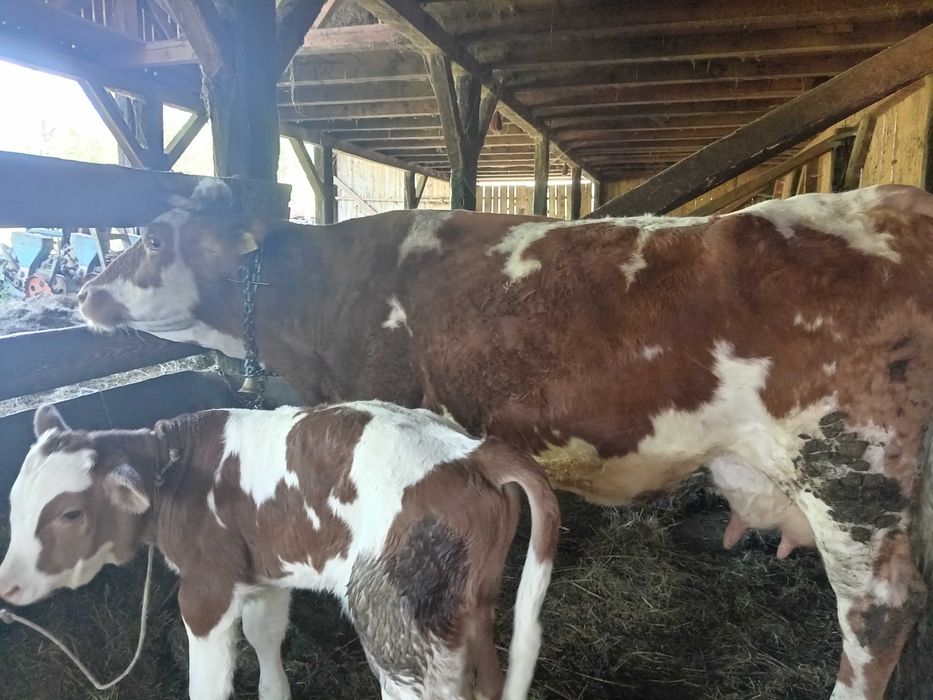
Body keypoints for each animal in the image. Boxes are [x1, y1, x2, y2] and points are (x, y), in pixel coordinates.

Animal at [0, 402, 560, 700]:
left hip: (397, 618)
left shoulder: (206, 591)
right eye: (15, 502)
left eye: (71, 513)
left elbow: (208, 681)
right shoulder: (263, 575)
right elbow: (264, 636)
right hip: (471, 604)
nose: (7, 585)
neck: (174, 469)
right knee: (487, 679)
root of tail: (474, 449)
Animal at [78, 182, 933, 699]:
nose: (84, 292)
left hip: (848, 470)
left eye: (153, 240)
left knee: (878, 613)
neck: (327, 296)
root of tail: (891, 201)